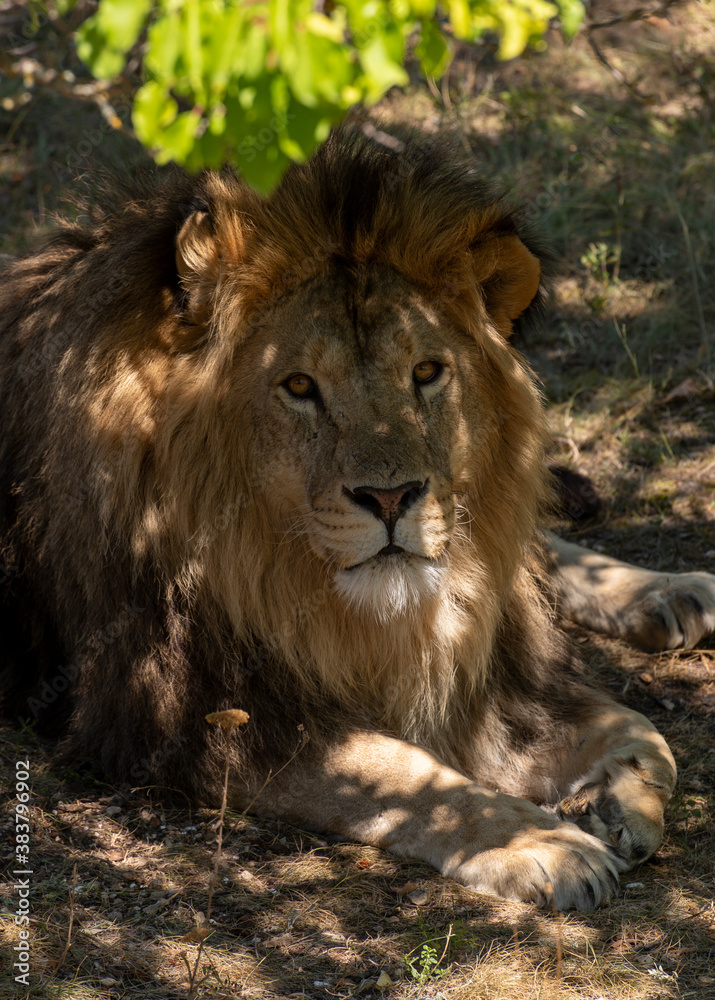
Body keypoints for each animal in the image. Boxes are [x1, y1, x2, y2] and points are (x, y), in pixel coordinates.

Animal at [1, 119, 715, 916]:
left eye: (426, 373)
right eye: (299, 386)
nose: (392, 498)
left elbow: (643, 732)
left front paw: (613, 803)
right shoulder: (183, 713)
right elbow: (398, 771)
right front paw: (543, 843)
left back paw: (671, 591)